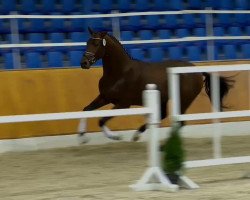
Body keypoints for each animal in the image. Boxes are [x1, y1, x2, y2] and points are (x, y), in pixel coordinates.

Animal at [79, 27, 233, 141]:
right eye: (87, 42)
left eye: (96, 44)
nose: (84, 63)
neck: (120, 73)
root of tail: (196, 71)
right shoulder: (105, 97)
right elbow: (86, 110)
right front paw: (82, 136)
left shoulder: (124, 103)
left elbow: (102, 120)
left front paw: (115, 136)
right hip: (164, 99)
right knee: (163, 116)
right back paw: (137, 135)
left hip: (183, 100)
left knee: (179, 121)